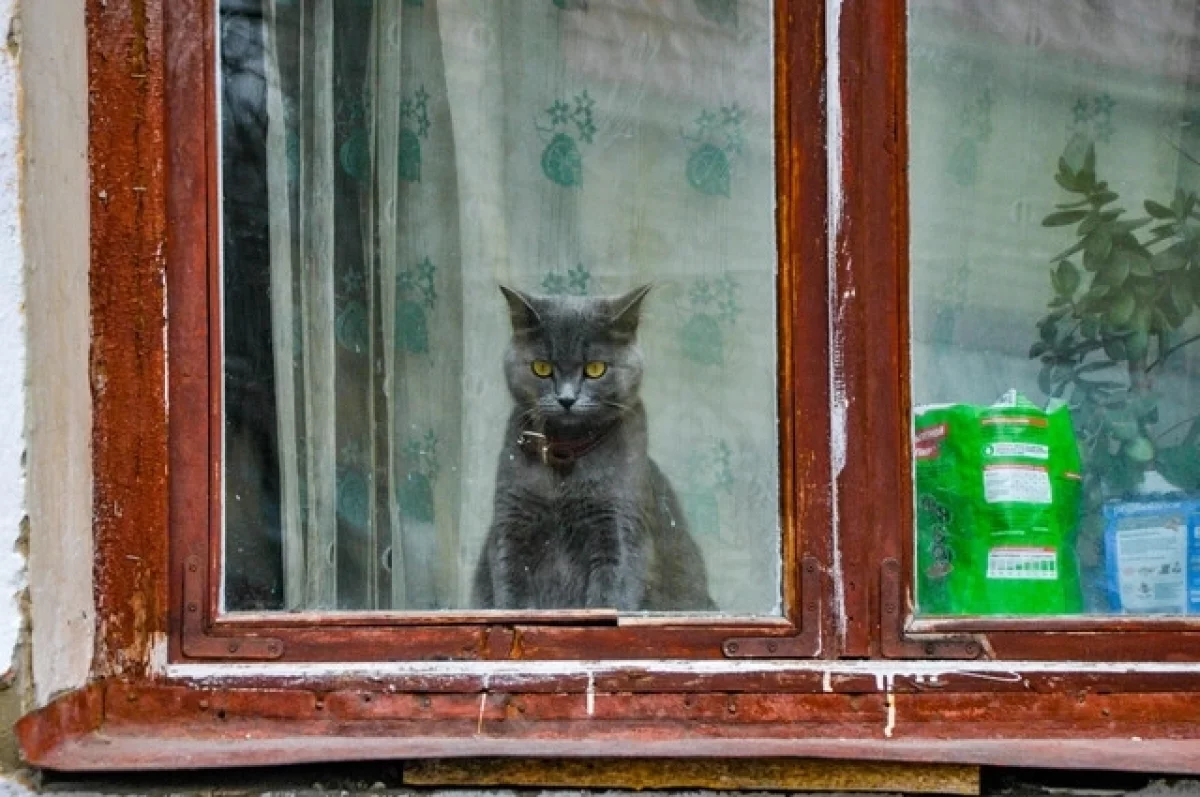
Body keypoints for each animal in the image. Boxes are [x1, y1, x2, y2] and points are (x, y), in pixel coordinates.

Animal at [472, 284, 715, 609]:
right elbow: (511, 593)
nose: (566, 399)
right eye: (541, 367)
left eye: (596, 368)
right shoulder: (511, 523)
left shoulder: (619, 526)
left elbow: (609, 594)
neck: (565, 453)